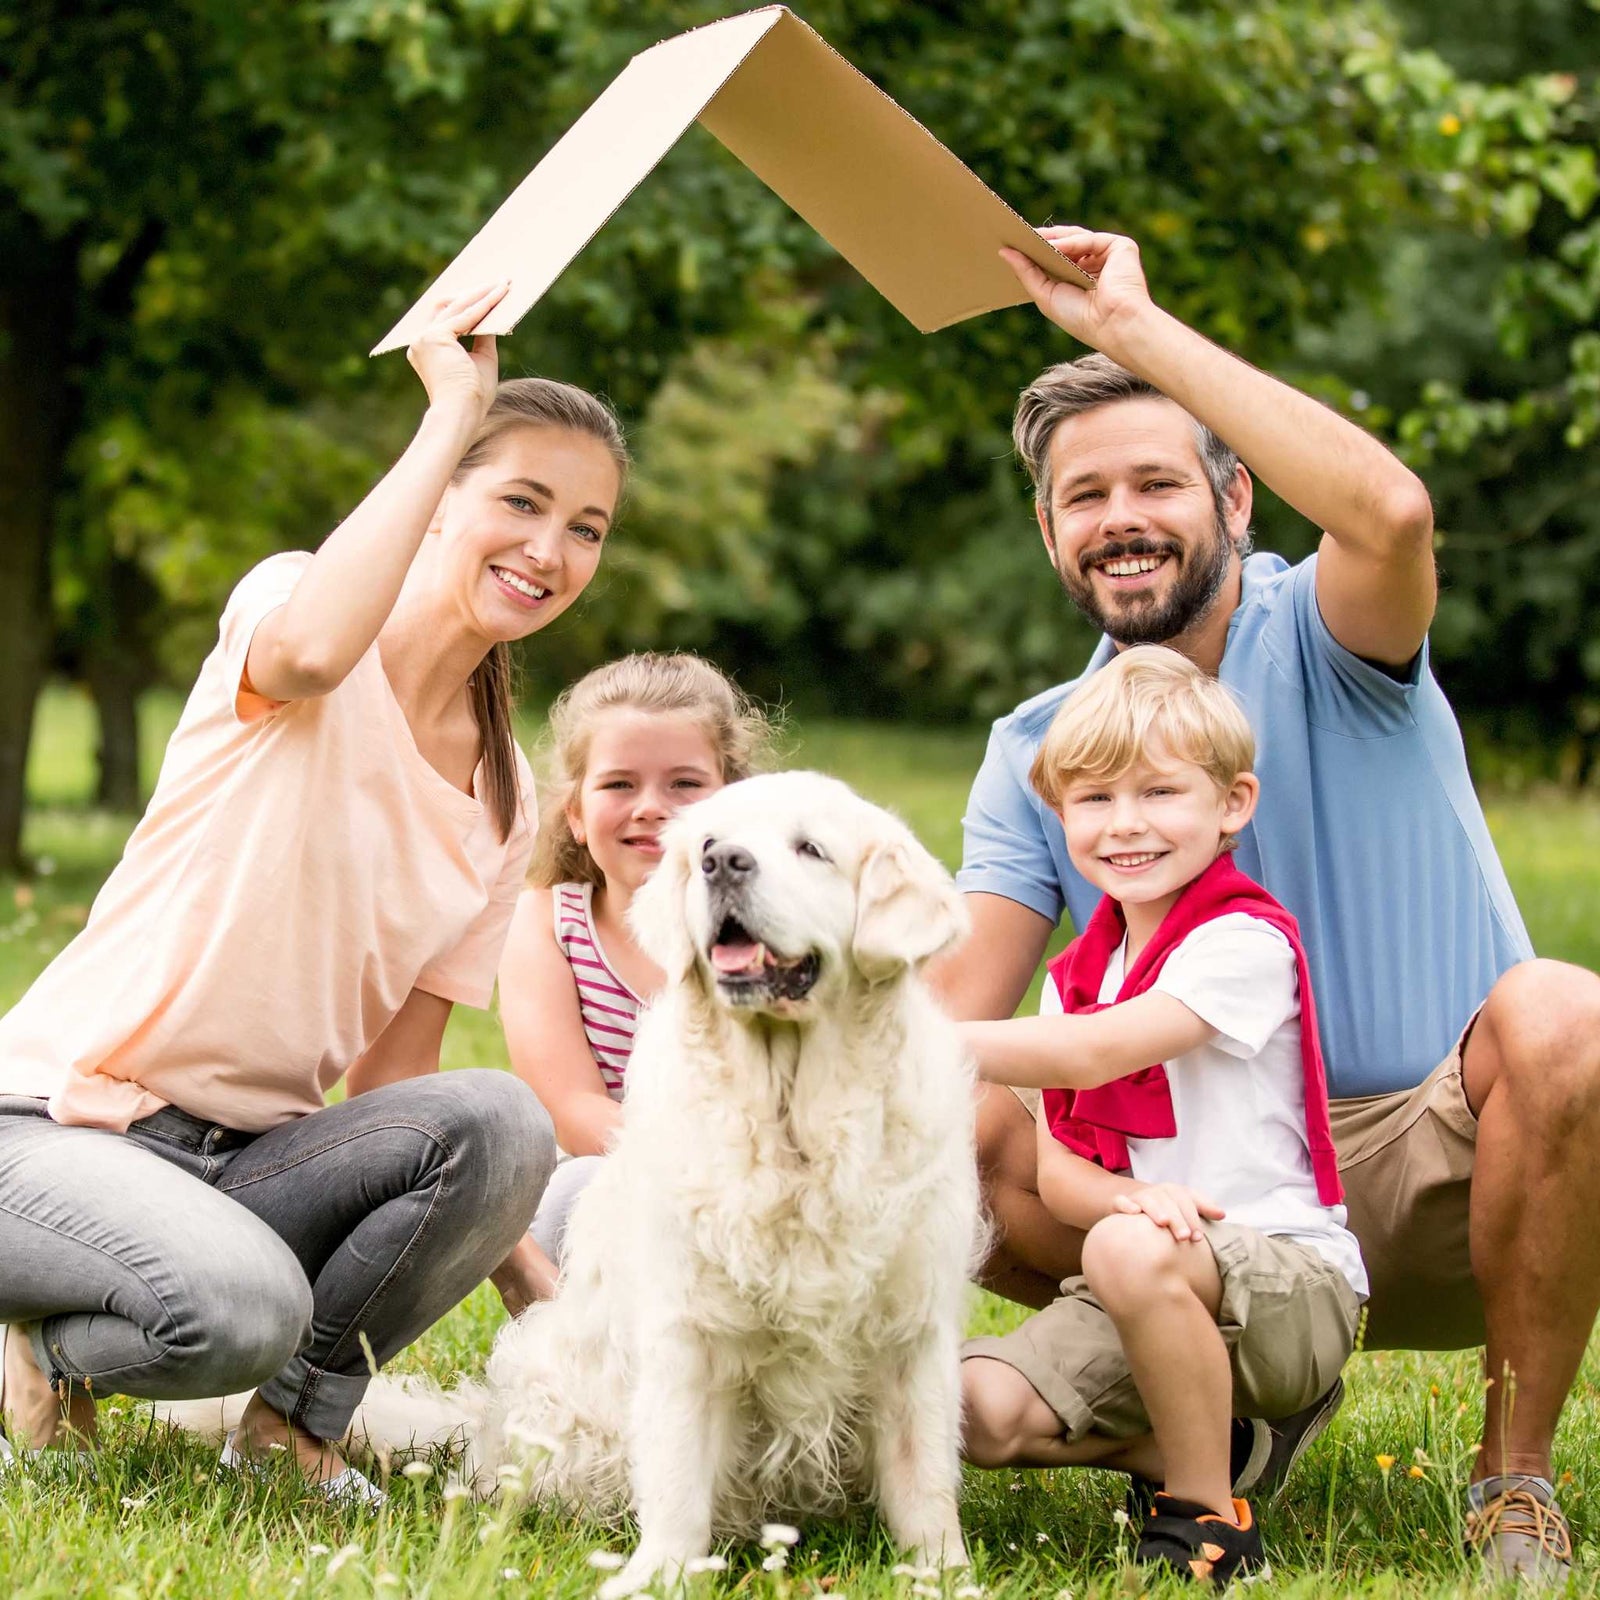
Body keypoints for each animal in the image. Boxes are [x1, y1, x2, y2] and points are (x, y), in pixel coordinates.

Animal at [172, 771, 985, 1587]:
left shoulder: (913, 1334)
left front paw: (943, 1575)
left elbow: (925, 1481)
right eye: (707, 844)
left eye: (811, 848)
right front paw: (657, 1576)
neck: (791, 1121)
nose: (723, 863)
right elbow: (678, 1476)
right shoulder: (686, 1327)